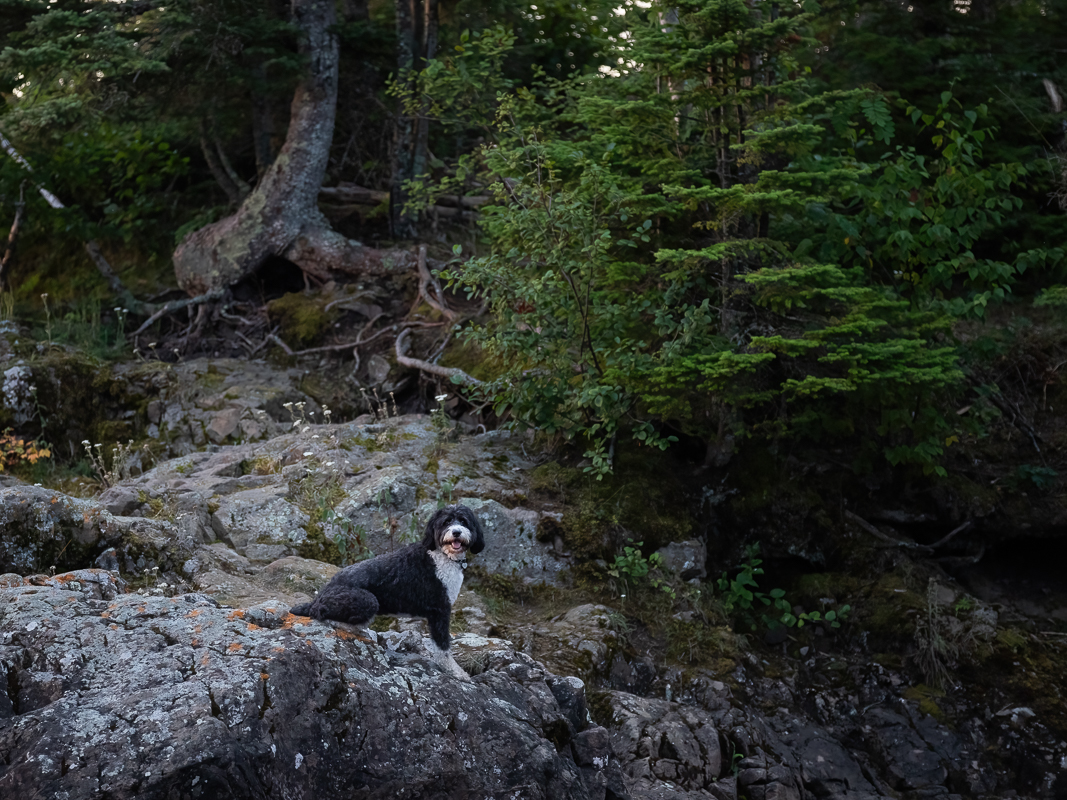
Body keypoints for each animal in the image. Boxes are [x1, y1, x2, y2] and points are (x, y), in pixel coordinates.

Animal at [296, 503, 488, 678]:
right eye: (446, 522)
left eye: (463, 521)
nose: (456, 532)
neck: (442, 556)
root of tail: (319, 596)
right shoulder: (440, 610)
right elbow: (443, 647)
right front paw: (456, 672)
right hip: (368, 601)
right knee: (325, 616)